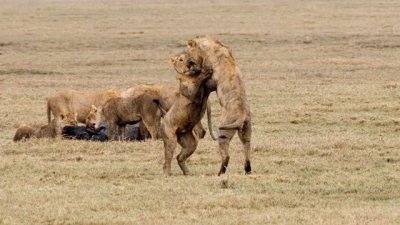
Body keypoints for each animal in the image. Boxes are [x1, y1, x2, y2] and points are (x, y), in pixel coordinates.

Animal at [186, 35, 252, 176]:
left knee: (226, 156)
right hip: (247, 131)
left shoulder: (211, 79)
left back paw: (220, 173)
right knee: (247, 148)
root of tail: (242, 117)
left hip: (224, 132)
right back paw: (247, 170)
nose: (188, 65)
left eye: (187, 52)